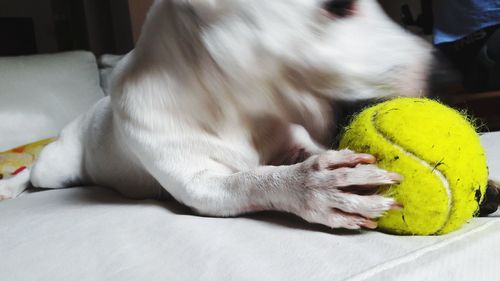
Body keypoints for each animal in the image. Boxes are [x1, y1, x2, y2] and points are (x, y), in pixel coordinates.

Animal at [0, 0, 446, 229]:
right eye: (338, 7)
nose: (442, 71)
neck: (232, 105)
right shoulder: (203, 186)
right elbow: (252, 180)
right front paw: (312, 186)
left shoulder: (290, 137)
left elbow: (308, 149)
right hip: (57, 167)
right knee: (34, 171)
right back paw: (11, 186)